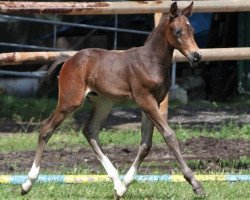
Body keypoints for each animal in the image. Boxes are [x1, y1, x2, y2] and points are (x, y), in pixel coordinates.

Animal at [21, 1, 205, 198]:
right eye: (178, 31)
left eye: (192, 30)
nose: (197, 56)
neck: (151, 61)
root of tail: (69, 60)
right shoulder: (145, 100)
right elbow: (169, 135)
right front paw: (195, 184)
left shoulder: (152, 102)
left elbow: (146, 144)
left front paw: (124, 187)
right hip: (70, 101)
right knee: (46, 128)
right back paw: (27, 184)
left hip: (103, 103)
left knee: (90, 131)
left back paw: (117, 182)